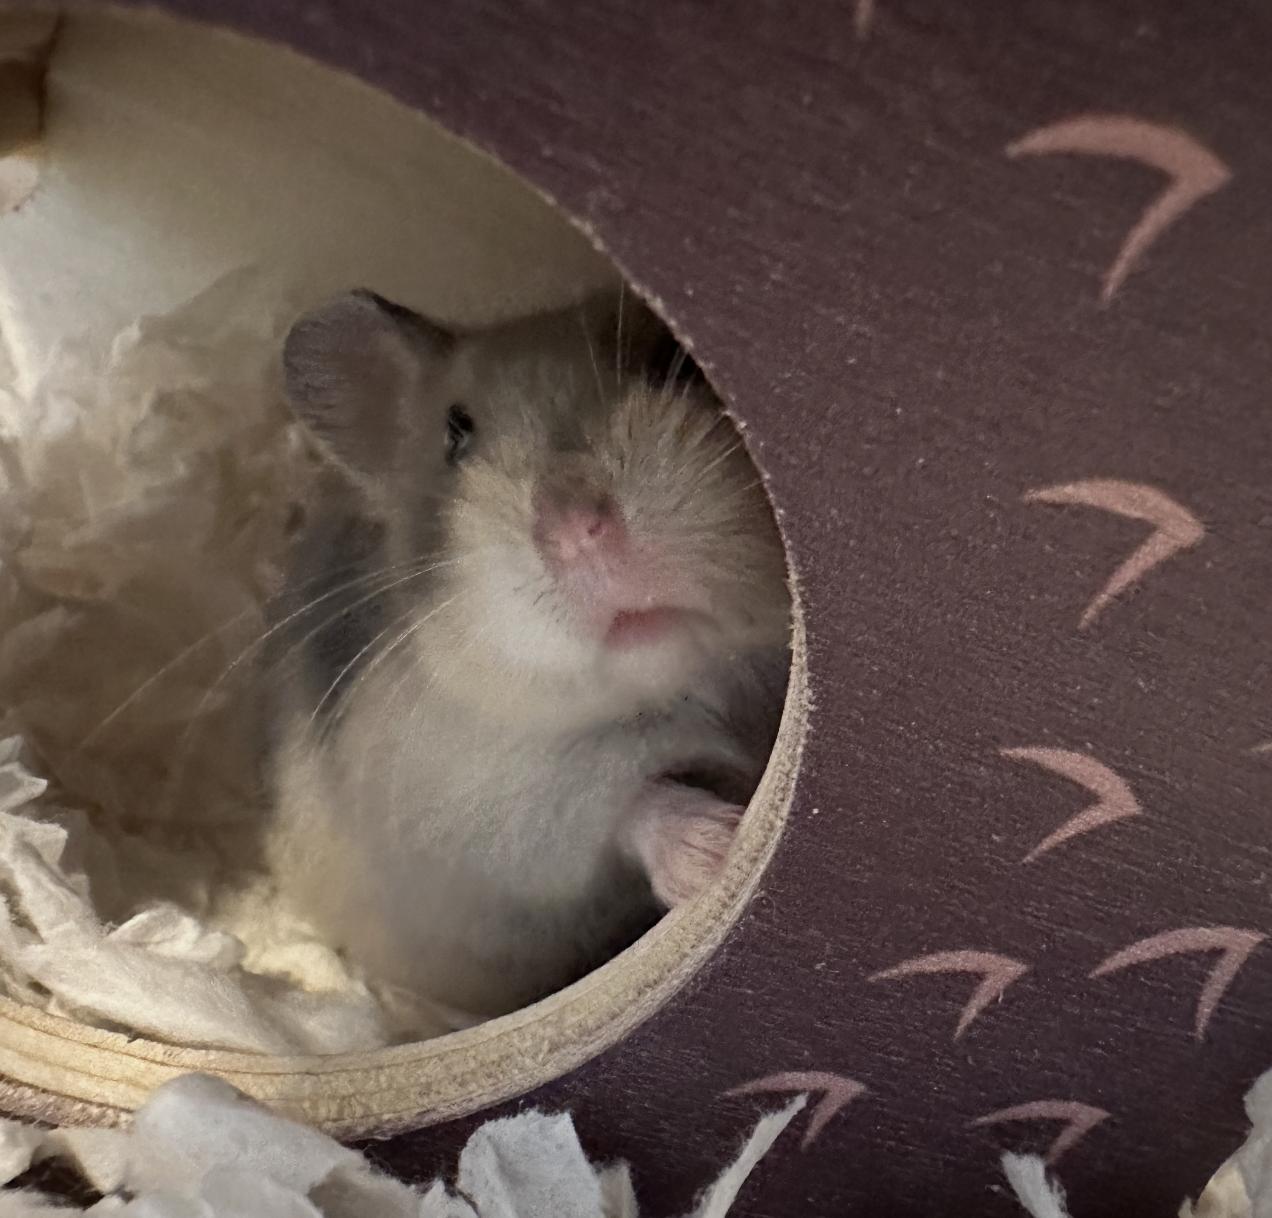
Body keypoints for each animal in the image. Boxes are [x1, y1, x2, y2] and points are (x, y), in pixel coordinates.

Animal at [264, 288, 790, 1034]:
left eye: (677, 361)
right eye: (456, 434)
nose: (577, 533)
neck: (688, 686)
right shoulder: (491, 810)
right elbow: (629, 802)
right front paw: (718, 850)